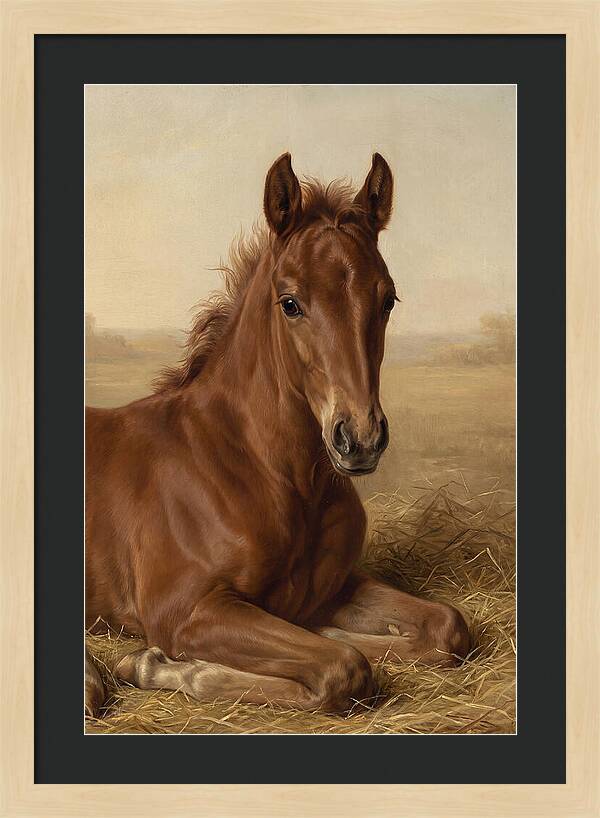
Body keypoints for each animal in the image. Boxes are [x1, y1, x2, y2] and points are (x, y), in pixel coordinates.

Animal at [85, 152, 470, 717]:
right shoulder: (185, 611)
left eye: (388, 300)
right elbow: (343, 667)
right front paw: (157, 665)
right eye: (290, 303)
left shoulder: (334, 587)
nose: (360, 438)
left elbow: (445, 627)